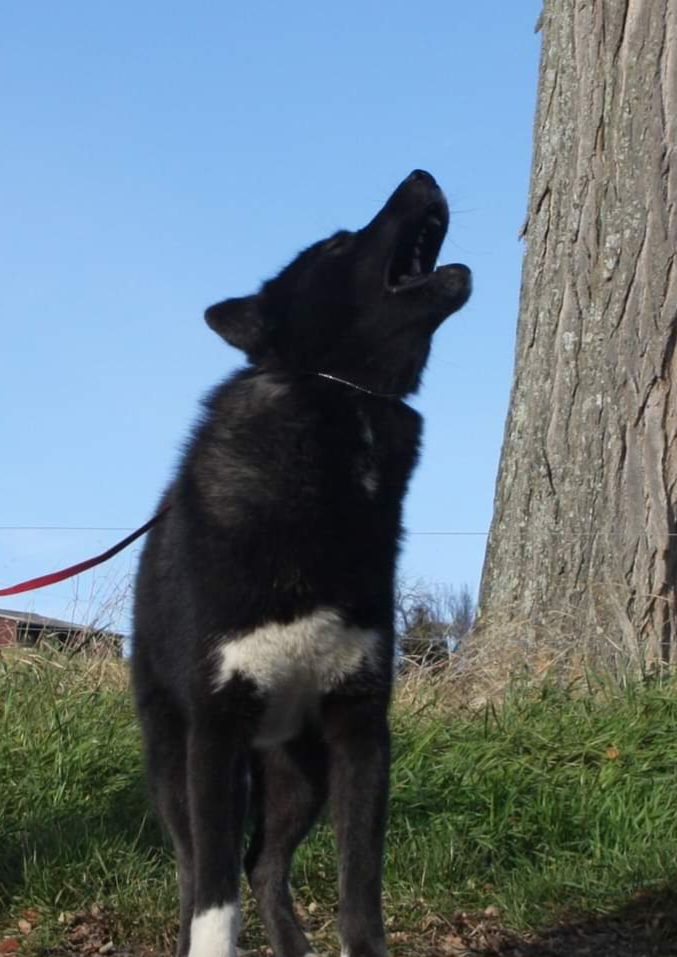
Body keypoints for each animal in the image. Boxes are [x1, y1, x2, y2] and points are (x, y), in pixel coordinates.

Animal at [132, 169, 471, 957]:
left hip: (300, 776)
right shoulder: (215, 734)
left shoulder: (361, 733)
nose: (421, 173)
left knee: (264, 865)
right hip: (177, 766)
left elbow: (360, 897)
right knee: (199, 868)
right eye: (339, 244)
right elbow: (213, 903)